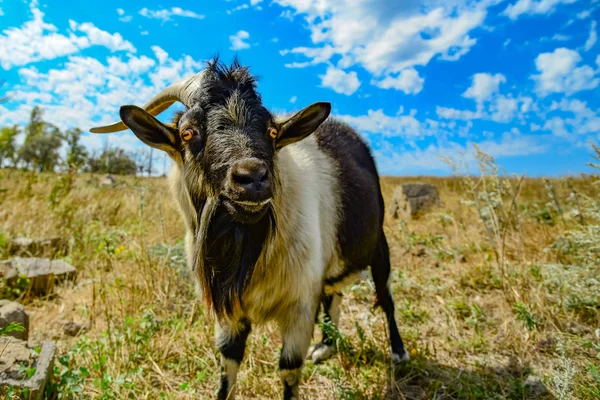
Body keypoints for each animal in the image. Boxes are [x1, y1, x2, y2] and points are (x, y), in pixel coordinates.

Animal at [91, 57, 410, 398]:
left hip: (379, 244)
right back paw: (326, 346)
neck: (250, 250)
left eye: (271, 131)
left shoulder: (299, 305)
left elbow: (289, 370)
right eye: (188, 133)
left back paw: (398, 353)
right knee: (333, 294)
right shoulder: (229, 309)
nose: (253, 177)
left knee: (386, 297)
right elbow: (227, 367)